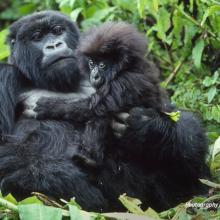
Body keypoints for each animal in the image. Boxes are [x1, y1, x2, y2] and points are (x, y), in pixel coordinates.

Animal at [29, 21, 166, 167]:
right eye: (91, 63)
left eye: (102, 65)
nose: (94, 76)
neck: (126, 68)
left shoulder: (126, 82)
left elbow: (94, 106)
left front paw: (49, 106)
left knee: (101, 115)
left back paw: (89, 158)